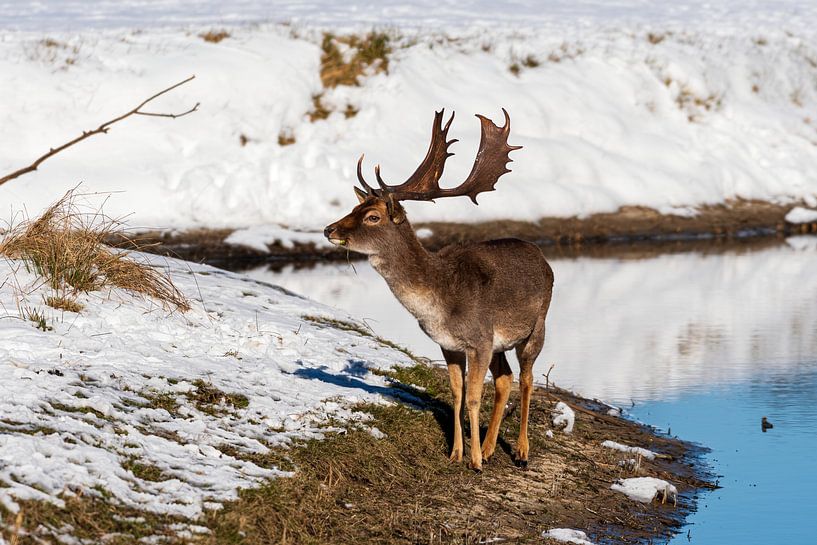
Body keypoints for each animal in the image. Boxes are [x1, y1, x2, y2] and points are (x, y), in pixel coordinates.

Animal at [323, 109, 554, 471]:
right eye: (354, 207)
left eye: (372, 216)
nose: (329, 229)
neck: (440, 302)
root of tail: (543, 258)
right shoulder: (449, 344)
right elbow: (457, 395)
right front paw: (456, 453)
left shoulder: (479, 338)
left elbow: (473, 397)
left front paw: (475, 462)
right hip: (501, 344)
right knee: (506, 378)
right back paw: (491, 447)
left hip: (537, 327)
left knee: (528, 379)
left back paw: (520, 451)